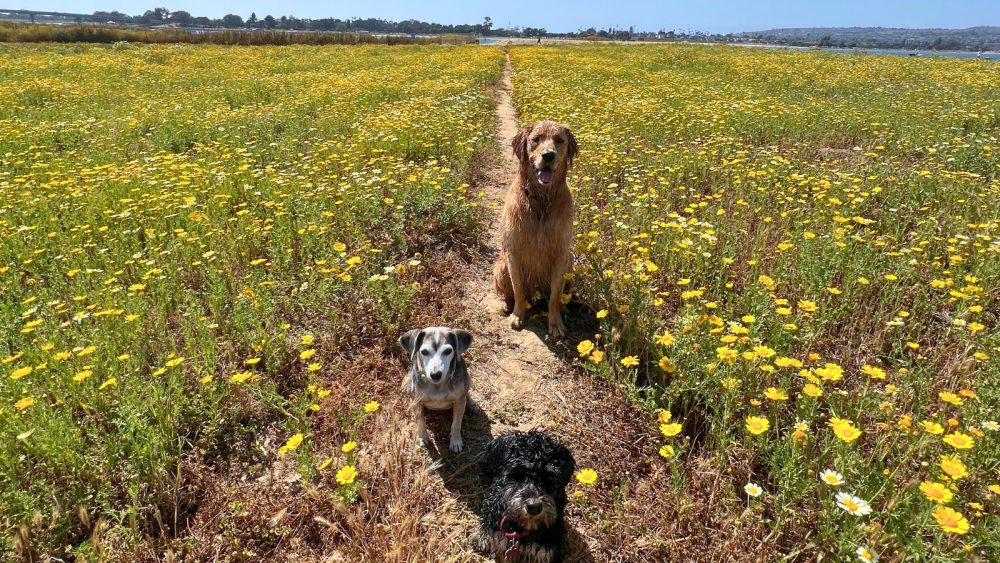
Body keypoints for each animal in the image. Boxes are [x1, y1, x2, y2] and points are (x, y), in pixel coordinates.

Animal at [396, 326, 478, 454]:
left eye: (448, 351)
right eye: (424, 352)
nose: (435, 374)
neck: (437, 385)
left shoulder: (459, 402)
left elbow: (456, 423)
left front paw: (455, 441)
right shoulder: (417, 402)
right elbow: (420, 422)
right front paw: (422, 437)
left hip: (468, 379)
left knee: (466, 393)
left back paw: (472, 403)